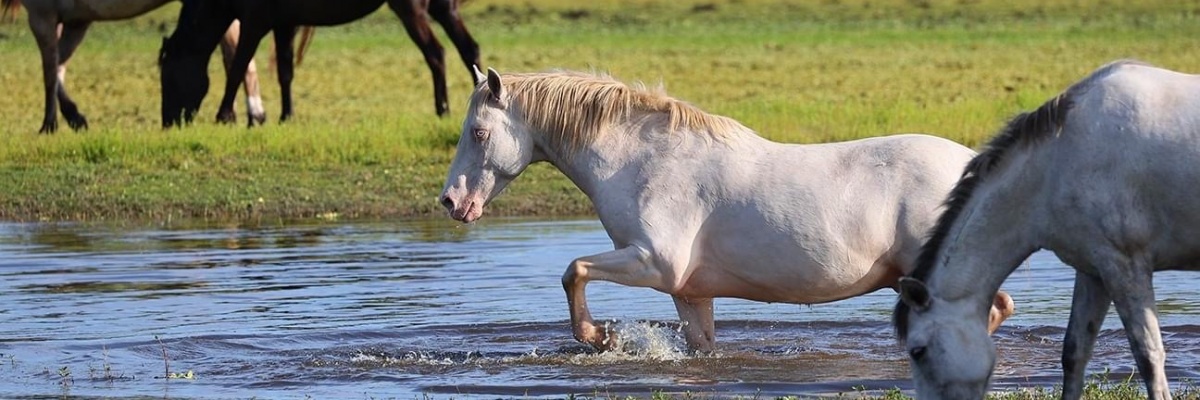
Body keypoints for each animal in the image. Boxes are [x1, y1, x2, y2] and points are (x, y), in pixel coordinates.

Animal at [439, 67, 1012, 348]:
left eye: (478, 132)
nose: (451, 201)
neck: (644, 161)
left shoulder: (653, 262)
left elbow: (573, 269)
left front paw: (593, 335)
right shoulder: (689, 292)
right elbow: (702, 345)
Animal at [902, 59, 1200, 398]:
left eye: (918, 351)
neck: (1058, 162)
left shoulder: (1126, 266)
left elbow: (1148, 355)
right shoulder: (1094, 271)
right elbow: (1074, 353)